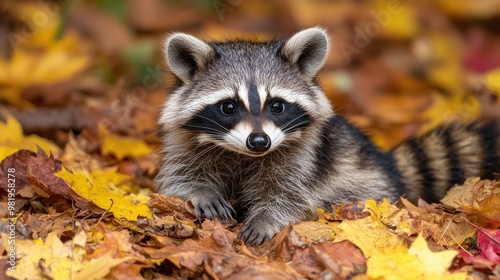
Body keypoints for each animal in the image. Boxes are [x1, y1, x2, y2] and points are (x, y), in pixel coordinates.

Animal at [156, 26, 500, 245]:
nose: (259, 142)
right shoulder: (183, 144)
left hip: (367, 184)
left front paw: (266, 219)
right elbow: (178, 178)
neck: (242, 153)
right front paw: (202, 191)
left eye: (277, 105)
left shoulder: (303, 157)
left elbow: (290, 194)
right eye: (229, 106)